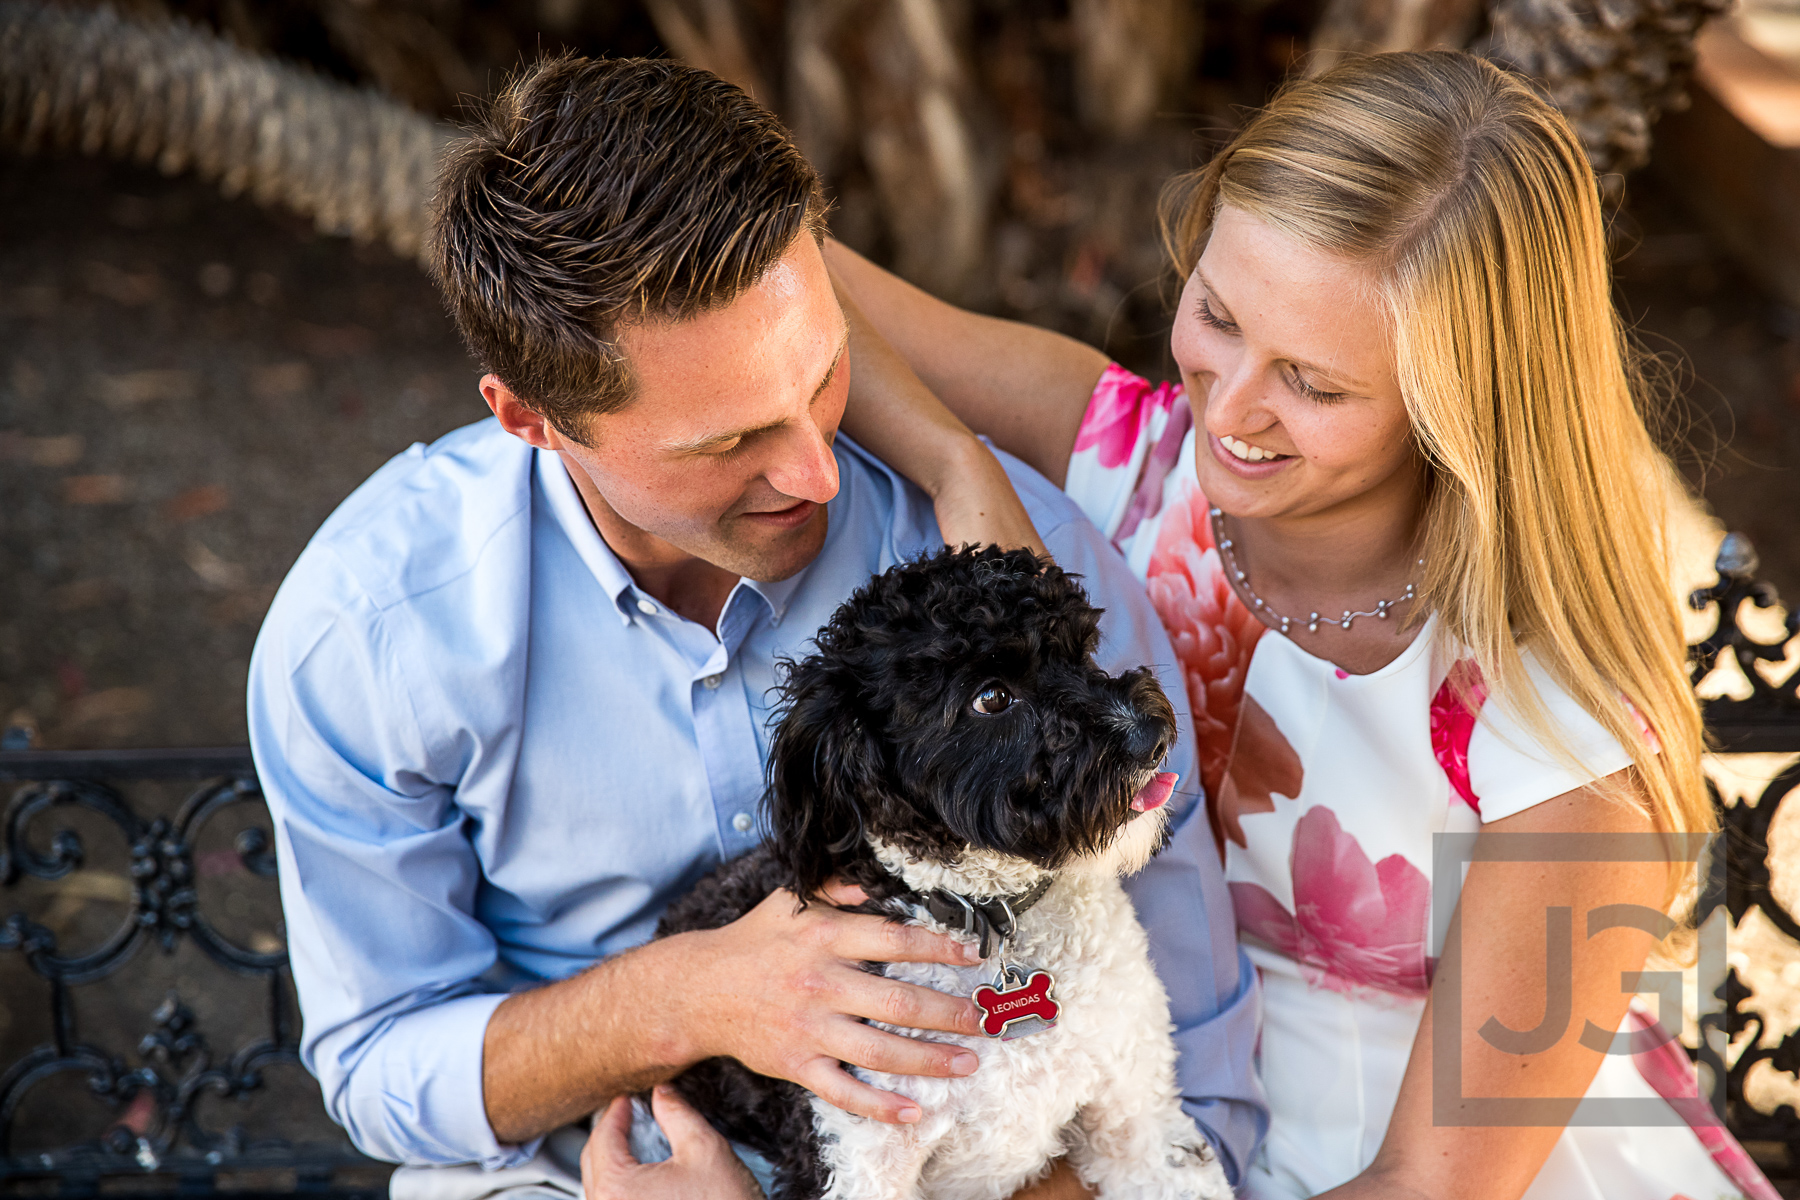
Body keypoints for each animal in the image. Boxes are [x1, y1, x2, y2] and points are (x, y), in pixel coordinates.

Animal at [655, 546, 1231, 1200]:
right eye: (991, 698)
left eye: (1079, 649)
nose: (1150, 735)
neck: (993, 915)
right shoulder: (852, 1155)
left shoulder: (1138, 1112)